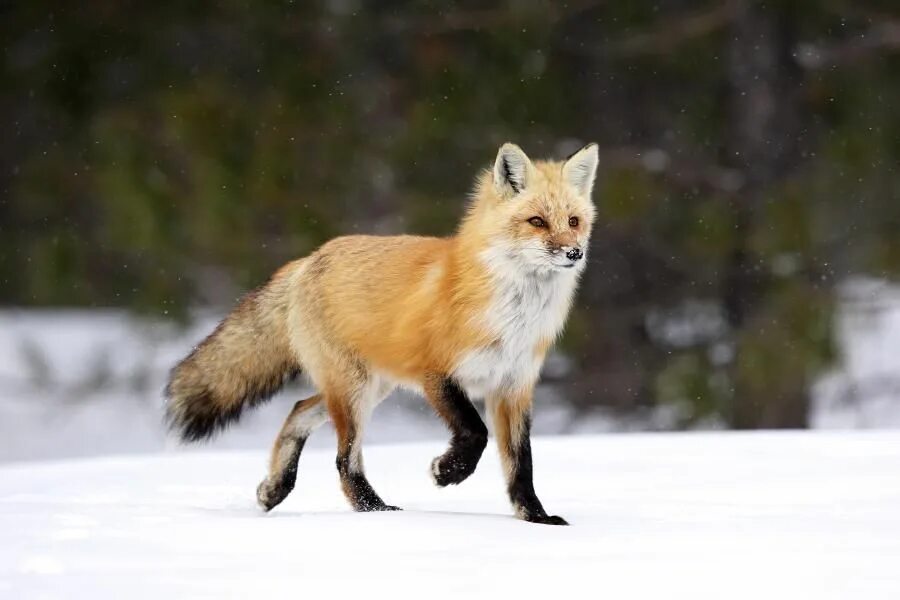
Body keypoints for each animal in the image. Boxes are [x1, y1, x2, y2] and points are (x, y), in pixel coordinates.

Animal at [165, 142, 596, 524]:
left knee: (298, 409)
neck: (512, 319)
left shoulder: (513, 387)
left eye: (573, 222)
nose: (574, 253)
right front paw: (448, 472)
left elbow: (522, 465)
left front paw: (536, 518)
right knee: (344, 458)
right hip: (355, 391)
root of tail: (308, 259)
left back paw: (275, 489)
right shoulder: (435, 373)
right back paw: (374, 510)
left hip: (368, 386)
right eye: (537, 221)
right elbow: (476, 432)